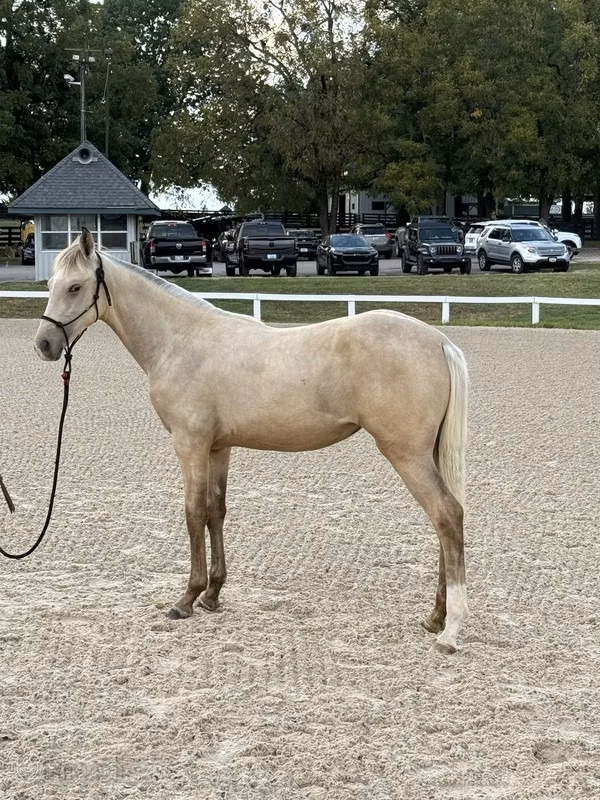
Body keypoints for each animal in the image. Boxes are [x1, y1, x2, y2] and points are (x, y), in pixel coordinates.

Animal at [35, 228, 469, 654]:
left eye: (75, 286)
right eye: (52, 285)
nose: (44, 345)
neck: (181, 341)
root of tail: (438, 340)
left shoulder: (190, 444)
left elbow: (193, 513)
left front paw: (186, 599)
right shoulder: (218, 447)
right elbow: (215, 512)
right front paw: (212, 595)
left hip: (406, 454)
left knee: (446, 516)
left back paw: (450, 632)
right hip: (425, 454)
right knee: (444, 522)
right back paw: (435, 617)